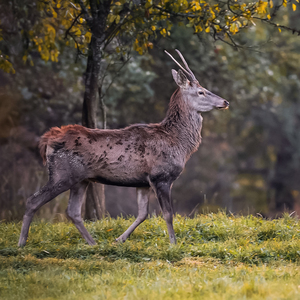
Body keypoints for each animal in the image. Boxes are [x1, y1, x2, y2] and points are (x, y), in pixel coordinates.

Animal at [17, 49, 229, 247]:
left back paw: (93, 243)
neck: (179, 144)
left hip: (81, 179)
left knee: (73, 211)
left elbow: (143, 214)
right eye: (201, 91)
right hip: (62, 173)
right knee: (33, 200)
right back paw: (21, 243)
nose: (225, 101)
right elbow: (168, 214)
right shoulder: (161, 176)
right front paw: (173, 243)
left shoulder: (143, 182)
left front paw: (119, 239)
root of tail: (47, 140)